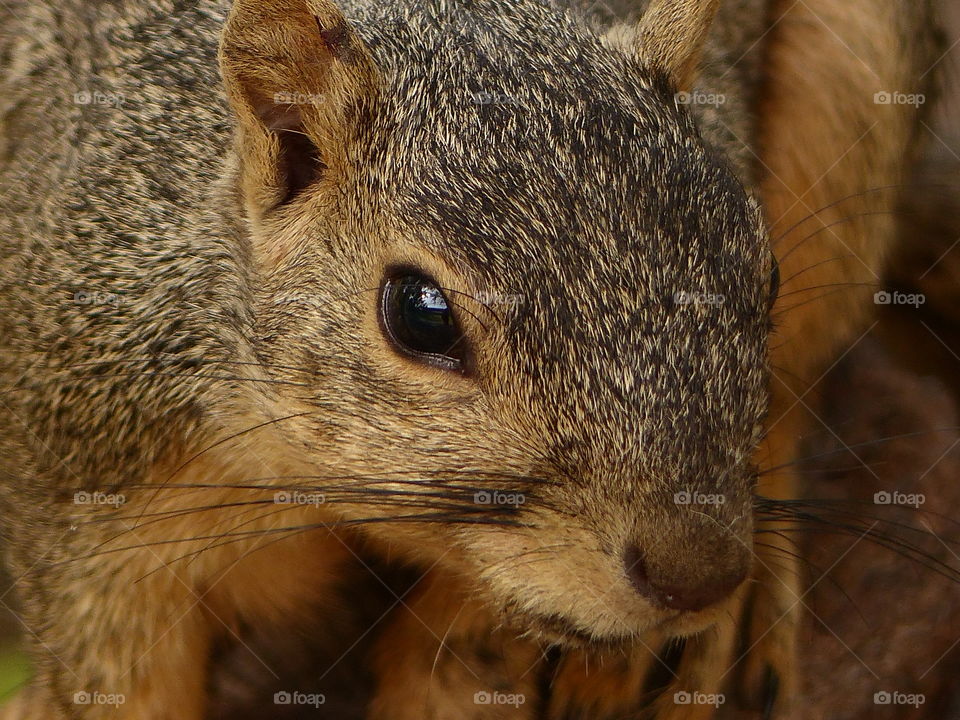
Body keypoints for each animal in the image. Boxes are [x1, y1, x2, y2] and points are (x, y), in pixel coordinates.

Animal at [0, 1, 944, 720]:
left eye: (765, 268)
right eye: (420, 317)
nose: (699, 573)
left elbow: (465, 665)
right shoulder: (87, 502)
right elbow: (119, 683)